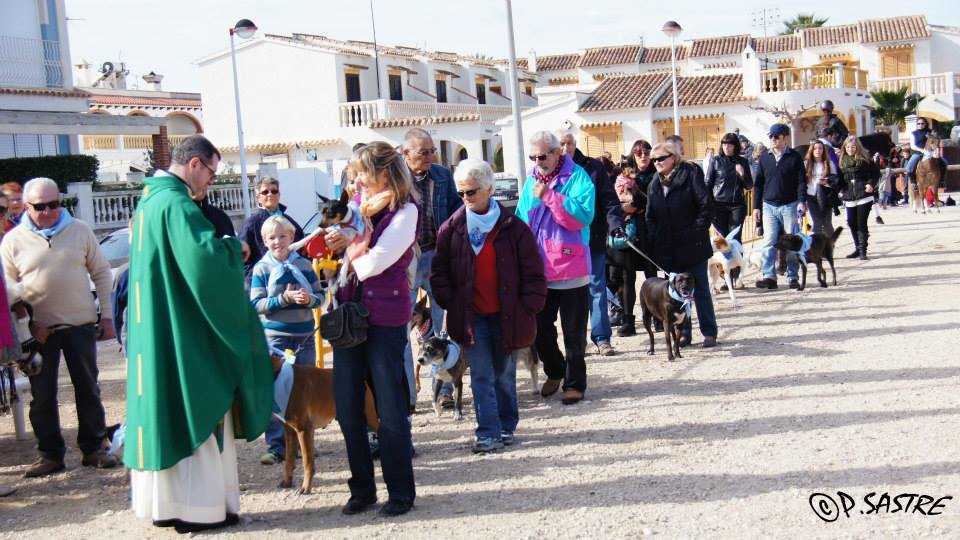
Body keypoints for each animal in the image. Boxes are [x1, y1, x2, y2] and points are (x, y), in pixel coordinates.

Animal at [270, 350, 378, 494]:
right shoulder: (290, 432)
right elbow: (289, 462)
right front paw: (287, 482)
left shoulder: (304, 430)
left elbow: (307, 462)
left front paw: (306, 487)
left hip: (371, 418)